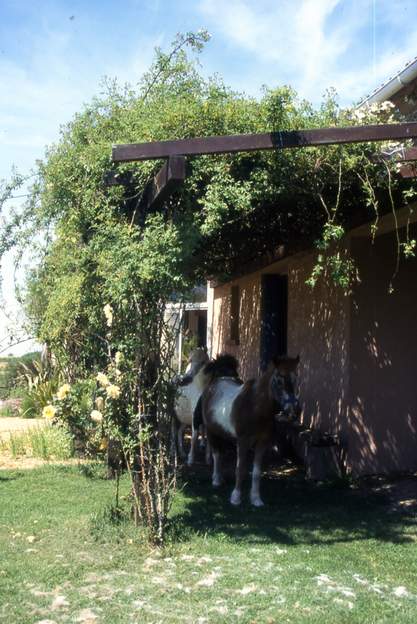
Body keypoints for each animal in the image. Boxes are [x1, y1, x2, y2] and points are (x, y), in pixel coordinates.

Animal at [196, 356, 300, 508]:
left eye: (296, 379)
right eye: (278, 381)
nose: (293, 410)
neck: (256, 408)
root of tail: (215, 383)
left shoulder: (262, 443)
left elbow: (256, 472)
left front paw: (256, 499)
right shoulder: (243, 442)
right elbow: (240, 469)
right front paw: (236, 497)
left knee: (221, 454)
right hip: (211, 432)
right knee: (216, 454)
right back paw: (216, 479)